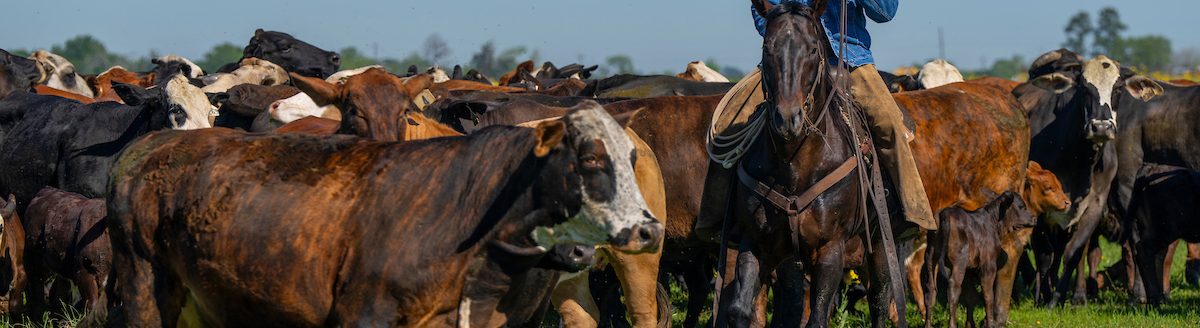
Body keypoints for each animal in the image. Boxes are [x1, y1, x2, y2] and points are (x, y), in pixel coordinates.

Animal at [715, 1, 902, 324]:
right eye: (767, 48)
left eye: (813, 49)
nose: (787, 119)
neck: (795, 165)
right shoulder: (756, 242)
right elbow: (740, 309)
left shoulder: (831, 248)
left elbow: (818, 316)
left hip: (879, 240)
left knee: (879, 299)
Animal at [1012, 48, 1161, 306]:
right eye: (1083, 87)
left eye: (1118, 88)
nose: (1100, 127)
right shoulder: (1038, 206)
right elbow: (1044, 255)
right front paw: (1044, 296)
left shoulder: (1095, 205)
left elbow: (1073, 253)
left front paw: (1057, 300)